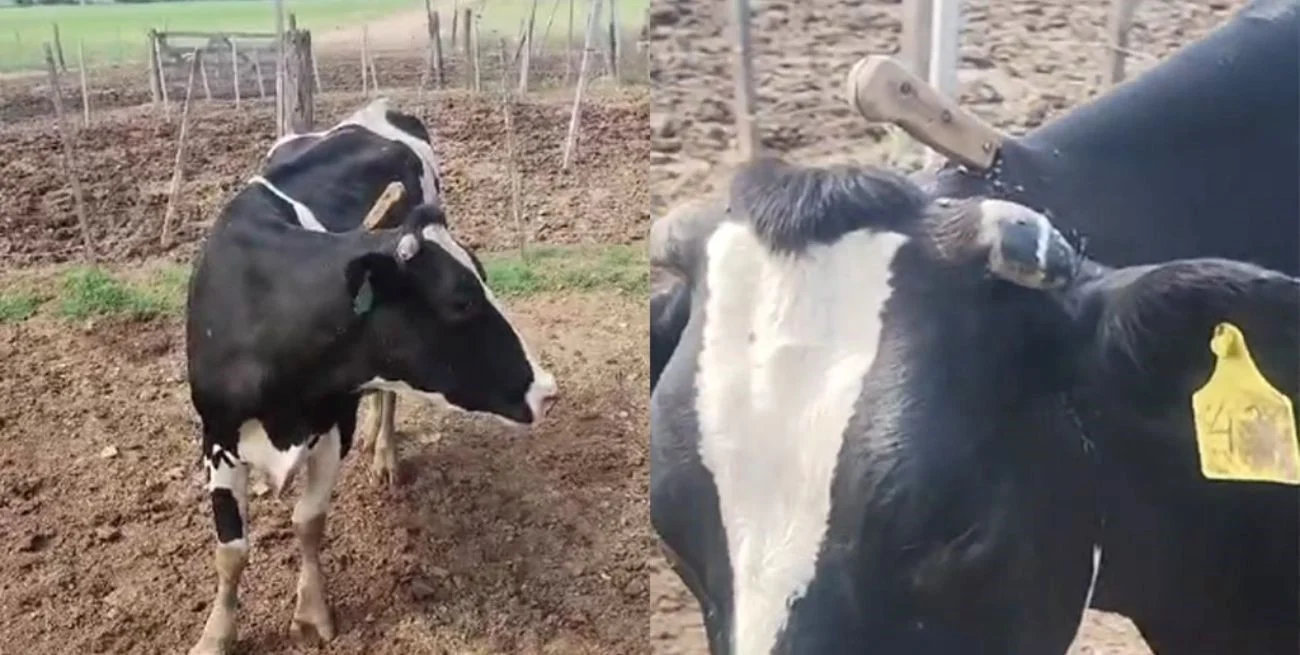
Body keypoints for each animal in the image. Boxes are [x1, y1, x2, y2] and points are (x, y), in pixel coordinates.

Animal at [184, 98, 558, 655]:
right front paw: (216, 634)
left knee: (388, 399)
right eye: (461, 301)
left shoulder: (335, 421)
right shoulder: (217, 434)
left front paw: (311, 613)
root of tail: (379, 107)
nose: (546, 390)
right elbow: (231, 550)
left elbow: (308, 522)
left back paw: (384, 455)